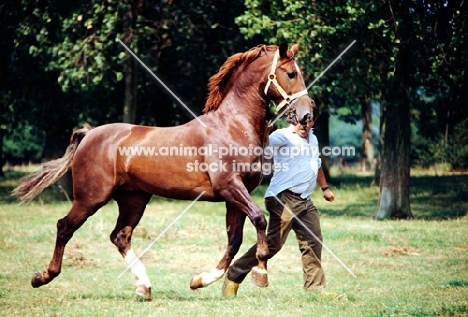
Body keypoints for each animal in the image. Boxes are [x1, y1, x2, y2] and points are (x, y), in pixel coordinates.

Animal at [13, 42, 314, 298]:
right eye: (290, 73)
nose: (306, 115)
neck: (232, 125)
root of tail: (89, 134)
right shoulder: (230, 187)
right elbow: (259, 220)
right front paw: (261, 273)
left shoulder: (237, 195)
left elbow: (235, 239)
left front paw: (199, 280)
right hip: (91, 198)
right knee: (65, 227)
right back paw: (42, 277)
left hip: (133, 199)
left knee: (120, 236)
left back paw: (144, 286)